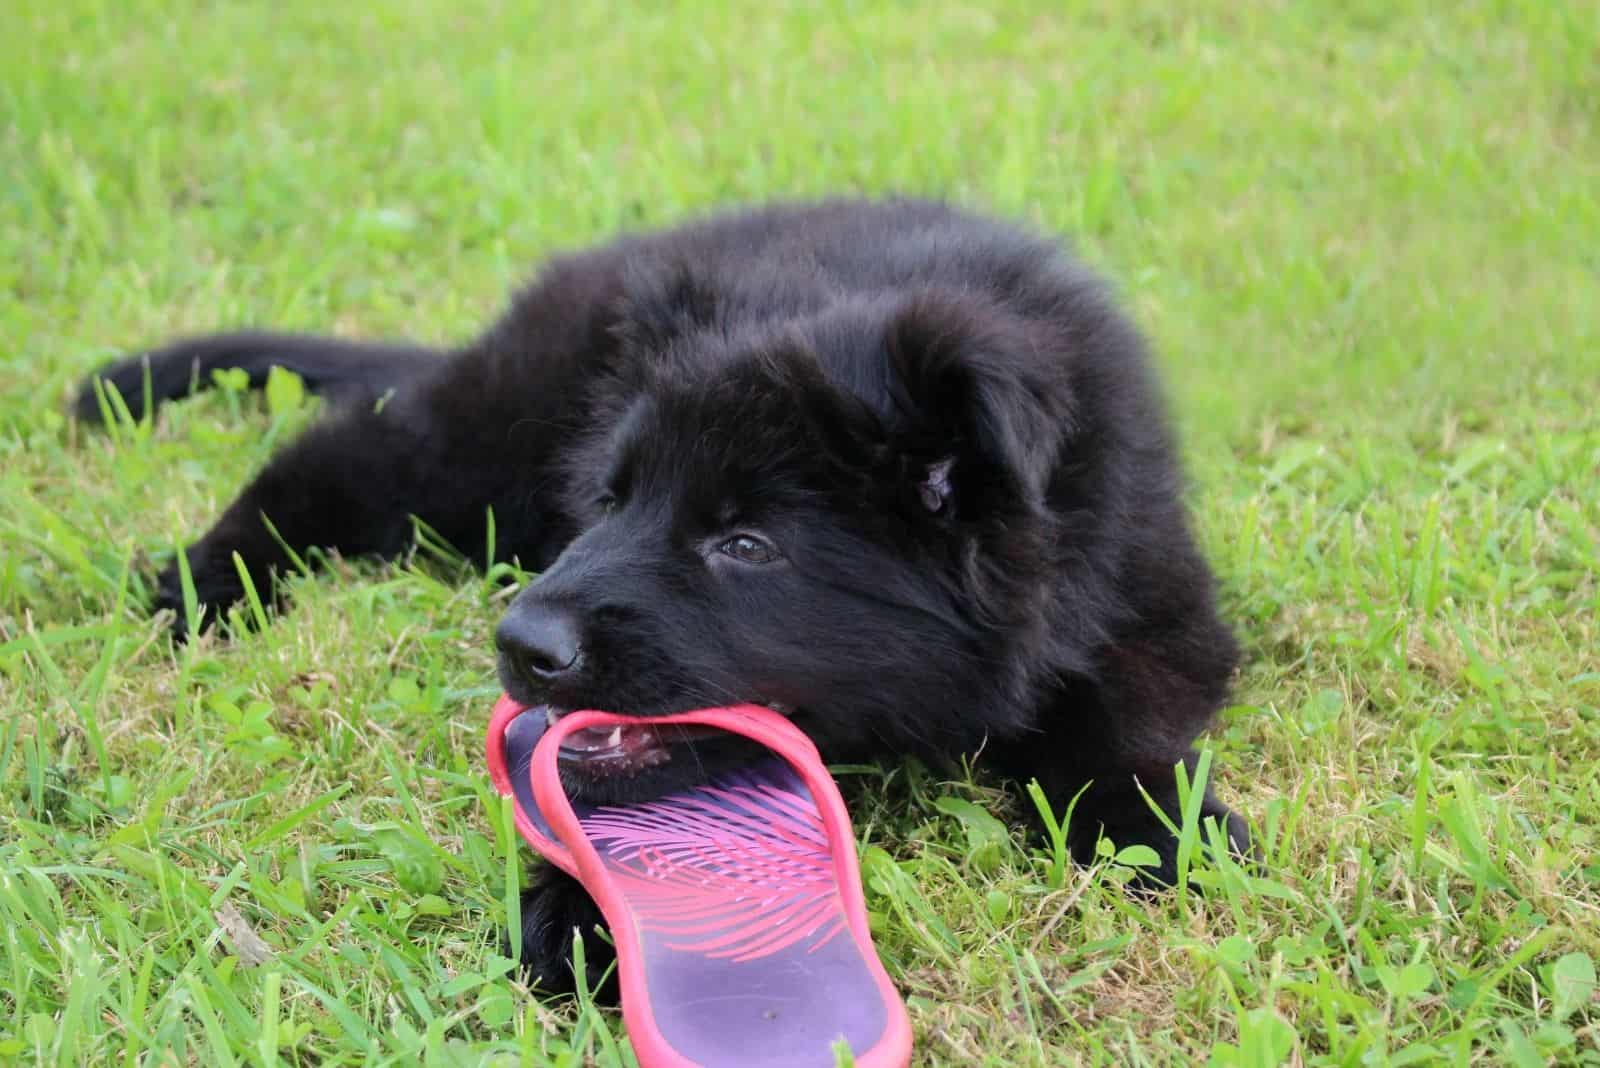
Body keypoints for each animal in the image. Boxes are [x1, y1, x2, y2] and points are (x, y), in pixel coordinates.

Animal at [75, 198, 1248, 991]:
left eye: (743, 543)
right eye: (612, 497)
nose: (522, 644)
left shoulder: (1150, 600)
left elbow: (1112, 712)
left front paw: (1158, 825)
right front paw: (581, 915)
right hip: (483, 446)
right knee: (328, 463)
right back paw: (202, 585)